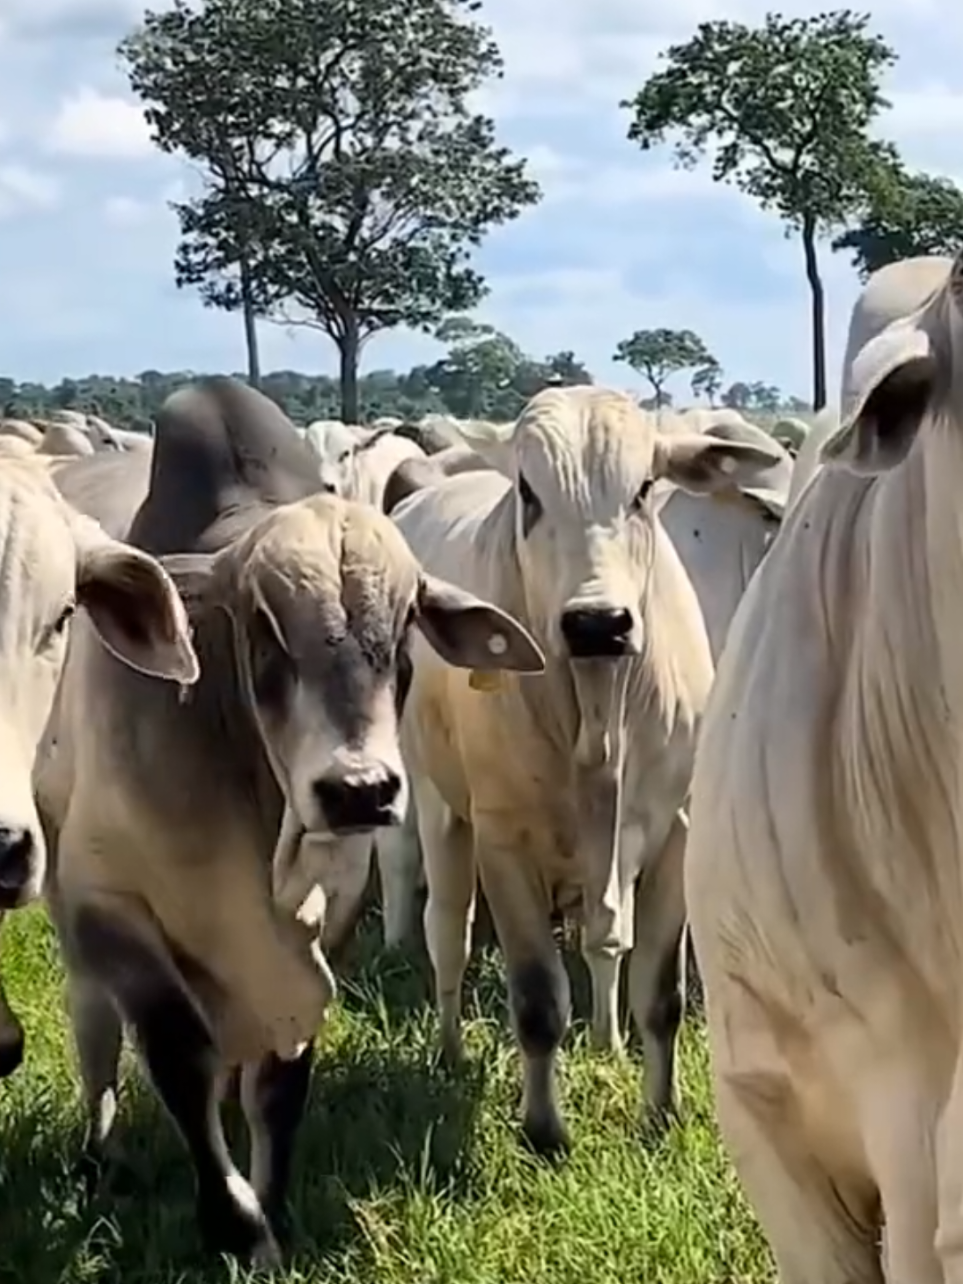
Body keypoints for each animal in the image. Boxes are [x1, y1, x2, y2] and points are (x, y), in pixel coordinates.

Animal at [387, 385, 785, 1150]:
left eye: (643, 489)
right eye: (527, 492)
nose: (598, 622)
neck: (598, 710)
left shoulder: (672, 834)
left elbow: (657, 992)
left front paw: (659, 1112)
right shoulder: (504, 843)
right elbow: (539, 1002)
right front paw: (544, 1130)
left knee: (602, 943)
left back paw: (605, 1039)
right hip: (437, 805)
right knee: (446, 930)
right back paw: (450, 1052)